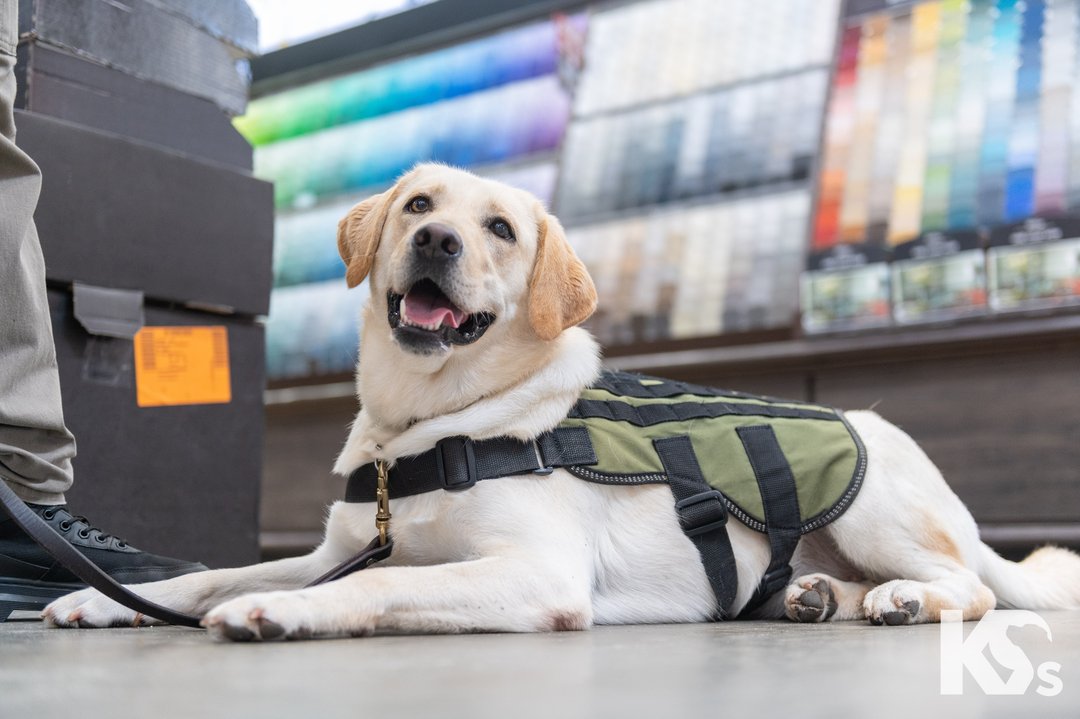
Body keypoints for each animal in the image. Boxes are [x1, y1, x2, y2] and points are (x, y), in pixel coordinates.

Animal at [42, 164, 1080, 639]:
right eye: (418, 205)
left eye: (500, 229)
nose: (438, 244)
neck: (429, 422)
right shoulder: (331, 547)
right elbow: (215, 573)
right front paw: (108, 598)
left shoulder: (534, 572)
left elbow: (372, 584)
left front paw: (283, 613)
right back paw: (816, 595)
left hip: (873, 507)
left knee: (976, 586)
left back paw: (903, 597)